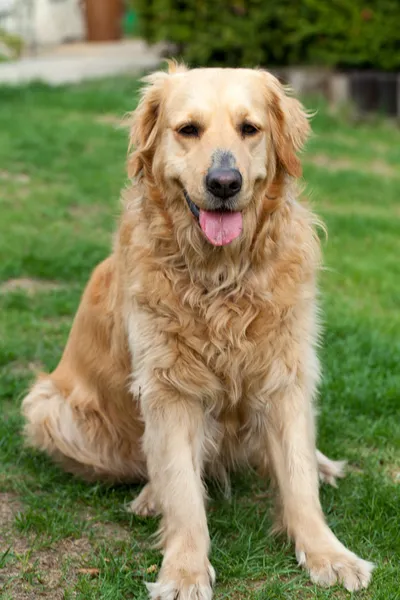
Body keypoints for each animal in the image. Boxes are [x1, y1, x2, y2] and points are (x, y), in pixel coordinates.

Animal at [21, 63, 374, 596]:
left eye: (250, 128)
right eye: (188, 129)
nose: (224, 182)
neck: (222, 278)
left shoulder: (286, 375)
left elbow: (298, 478)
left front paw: (328, 553)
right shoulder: (170, 389)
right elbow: (183, 492)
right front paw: (183, 571)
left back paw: (324, 465)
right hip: (50, 408)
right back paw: (150, 496)